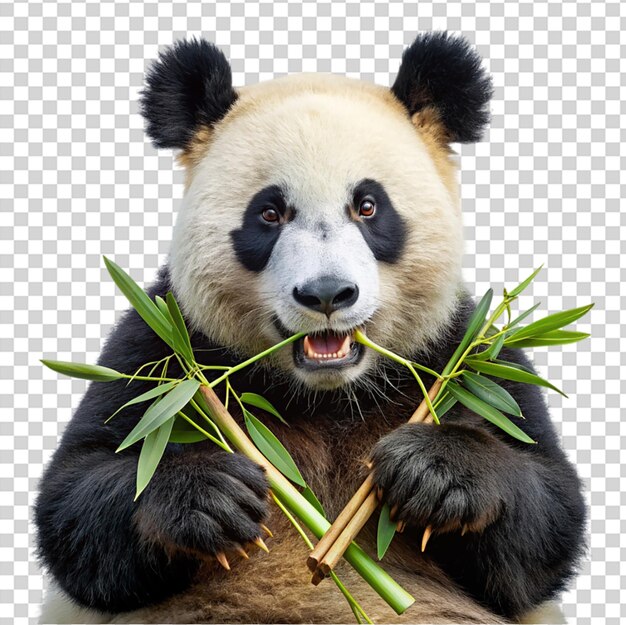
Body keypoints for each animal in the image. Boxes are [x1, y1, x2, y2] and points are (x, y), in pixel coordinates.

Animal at [36, 34, 584, 624]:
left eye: (367, 206)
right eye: (270, 213)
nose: (326, 293)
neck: (328, 397)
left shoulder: (467, 353)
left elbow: (545, 518)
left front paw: (435, 470)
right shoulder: (163, 347)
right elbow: (79, 496)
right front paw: (210, 495)